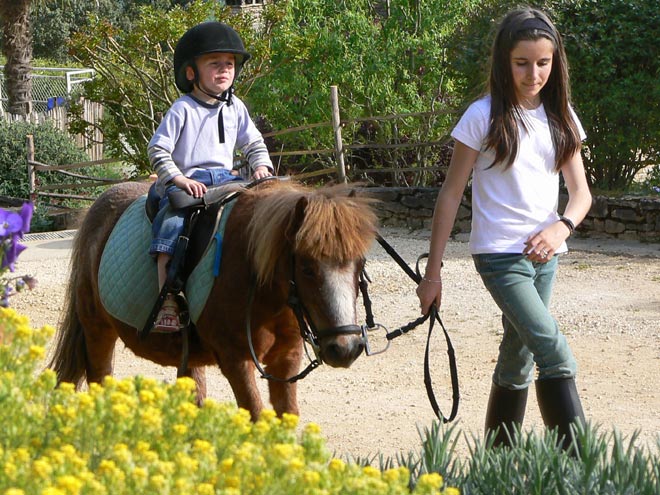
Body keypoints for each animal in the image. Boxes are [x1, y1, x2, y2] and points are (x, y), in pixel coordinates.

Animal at [49, 180, 378, 420]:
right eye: (307, 268)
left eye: (359, 264)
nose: (345, 348)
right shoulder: (236, 360)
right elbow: (255, 415)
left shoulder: (286, 359)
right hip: (97, 330)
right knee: (99, 379)